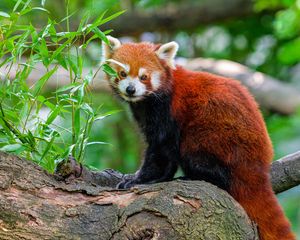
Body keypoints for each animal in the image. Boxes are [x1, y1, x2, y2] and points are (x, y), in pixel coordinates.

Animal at [102, 36, 294, 240]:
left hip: (215, 138)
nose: (131, 89)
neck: (147, 101)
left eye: (143, 77)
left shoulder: (167, 111)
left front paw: (141, 179)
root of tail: (258, 166)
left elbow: (161, 150)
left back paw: (194, 177)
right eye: (122, 73)